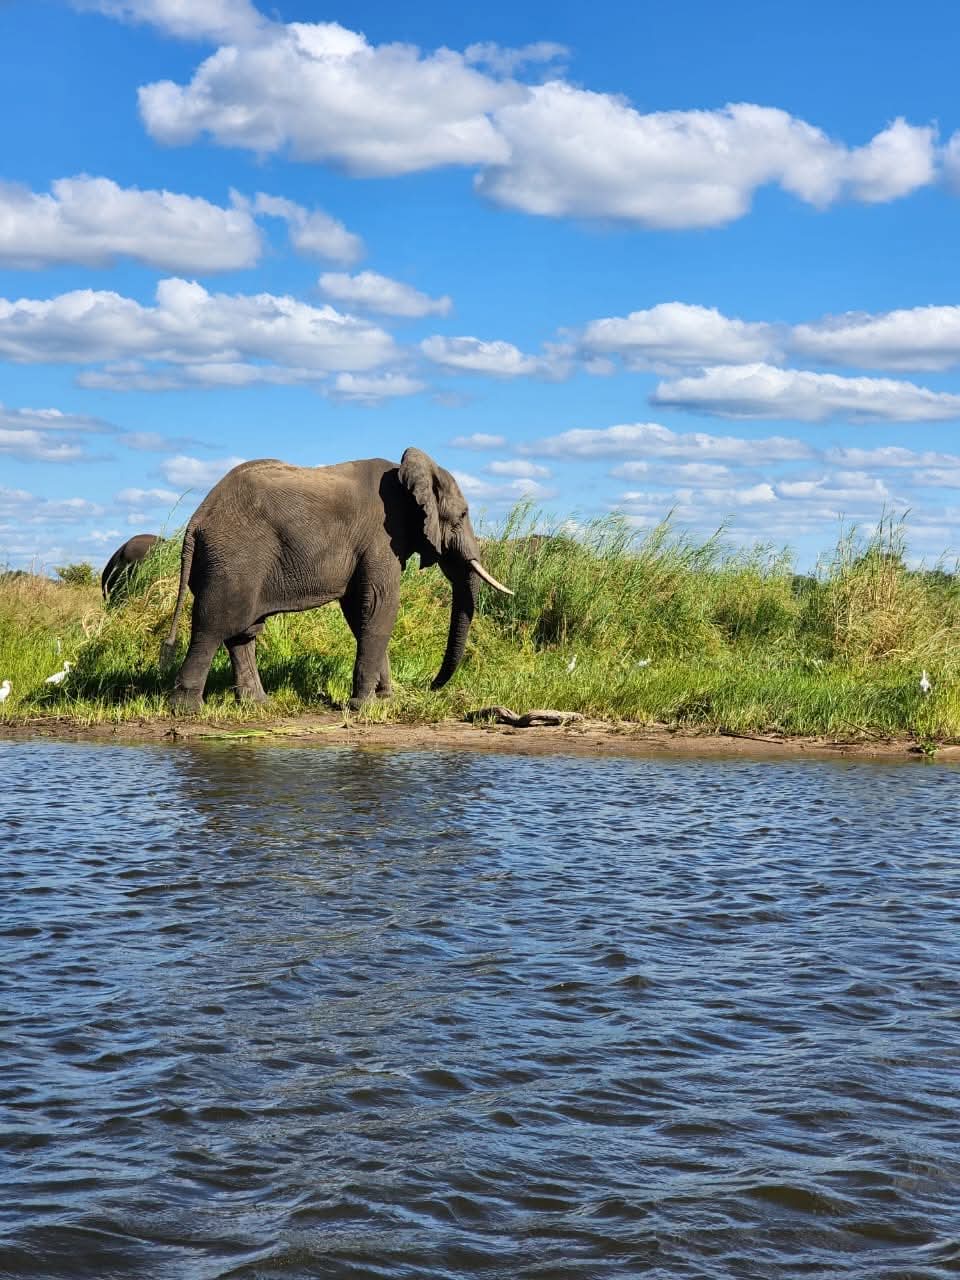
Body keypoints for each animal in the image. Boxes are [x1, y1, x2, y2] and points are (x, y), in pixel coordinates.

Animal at [161, 449, 513, 712]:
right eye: (463, 516)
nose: (430, 686)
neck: (407, 474)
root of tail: (196, 520)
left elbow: (360, 612)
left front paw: (384, 700)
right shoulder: (382, 536)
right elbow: (380, 604)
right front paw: (363, 706)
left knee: (242, 632)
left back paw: (257, 704)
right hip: (234, 558)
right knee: (214, 626)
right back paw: (188, 709)